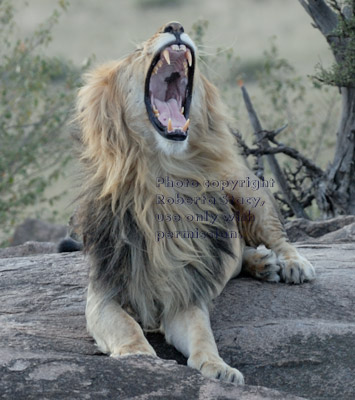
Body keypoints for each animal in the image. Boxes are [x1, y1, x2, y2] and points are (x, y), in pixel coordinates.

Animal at [62, 21, 316, 384]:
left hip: (247, 189)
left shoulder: (184, 295)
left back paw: (291, 265)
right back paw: (263, 264)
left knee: (277, 237)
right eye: (136, 52)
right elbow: (125, 326)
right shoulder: (102, 294)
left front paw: (219, 368)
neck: (160, 180)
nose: (175, 25)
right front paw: (138, 356)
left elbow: (201, 333)